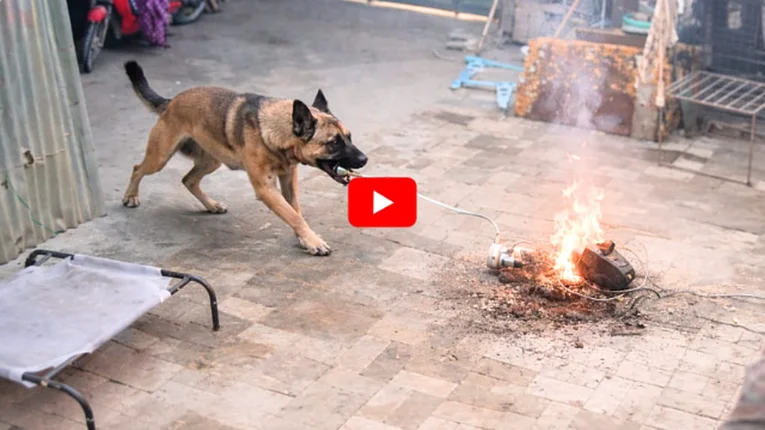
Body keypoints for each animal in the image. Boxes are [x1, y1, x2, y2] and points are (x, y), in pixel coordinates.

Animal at [121, 61, 368, 256]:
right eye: (334, 142)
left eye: (349, 137)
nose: (364, 159)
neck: (276, 132)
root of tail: (170, 101)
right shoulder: (266, 189)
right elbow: (293, 215)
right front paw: (313, 241)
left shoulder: (289, 180)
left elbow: (296, 210)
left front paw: (305, 238)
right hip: (160, 157)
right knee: (137, 168)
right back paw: (130, 196)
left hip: (212, 160)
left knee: (188, 180)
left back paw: (211, 205)